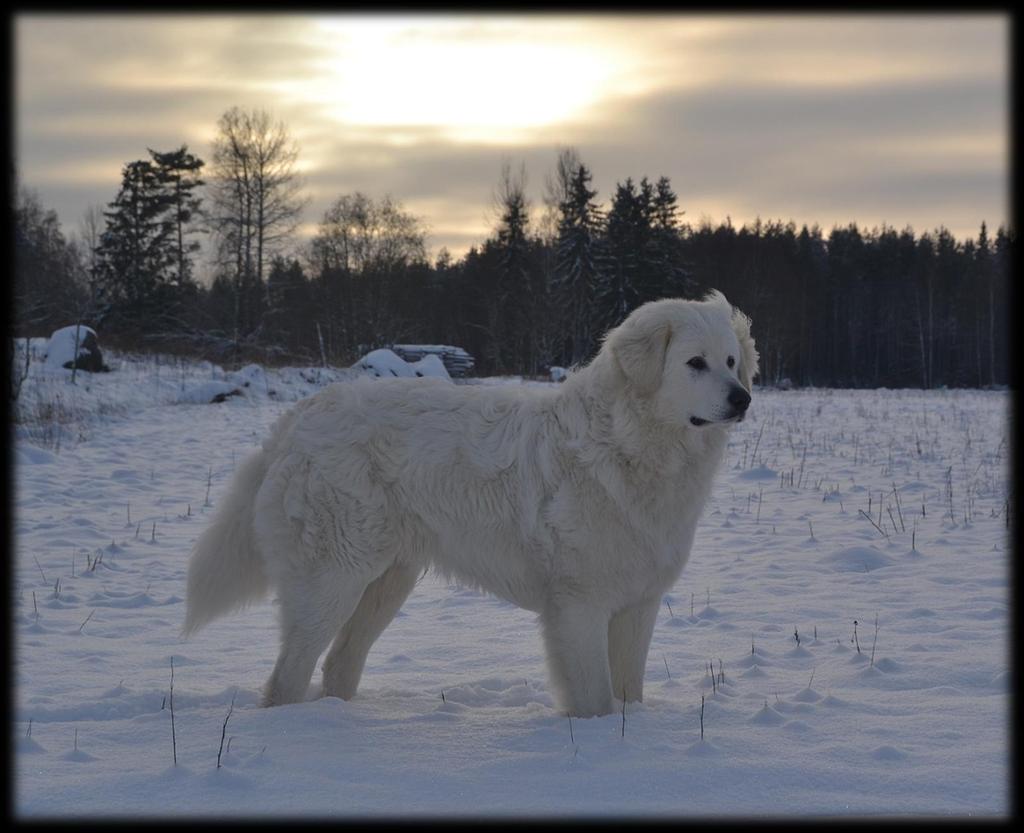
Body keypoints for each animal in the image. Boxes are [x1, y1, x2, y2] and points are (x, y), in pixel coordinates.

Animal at [184, 290, 757, 713]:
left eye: (732, 362)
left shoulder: (638, 603)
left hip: (386, 582)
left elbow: (628, 691)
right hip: (332, 579)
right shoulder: (580, 604)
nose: (743, 398)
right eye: (695, 363)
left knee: (339, 663)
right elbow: (595, 699)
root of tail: (298, 417)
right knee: (288, 677)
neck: (628, 444)